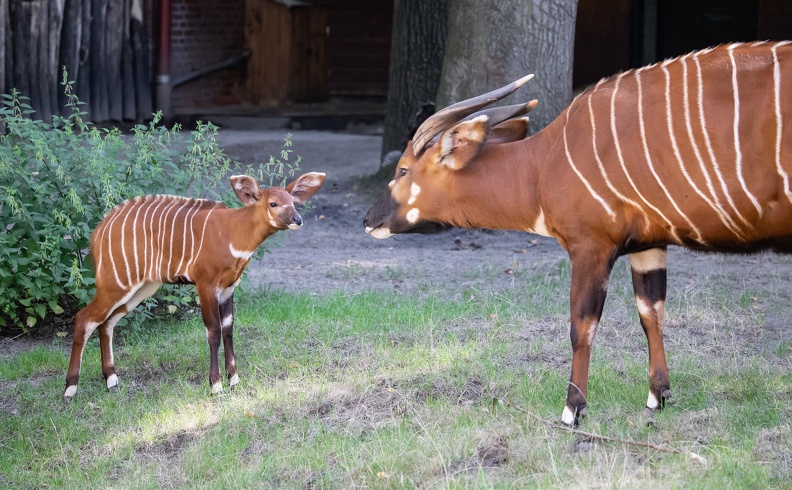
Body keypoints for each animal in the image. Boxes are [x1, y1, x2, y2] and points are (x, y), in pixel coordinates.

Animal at [63, 174, 326, 400]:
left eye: (293, 201)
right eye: (273, 203)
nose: (298, 219)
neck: (233, 232)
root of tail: (99, 231)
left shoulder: (229, 287)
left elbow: (228, 329)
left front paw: (234, 380)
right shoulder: (206, 285)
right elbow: (213, 332)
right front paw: (216, 385)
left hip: (141, 288)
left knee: (107, 322)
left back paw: (112, 381)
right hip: (116, 283)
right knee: (84, 318)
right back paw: (70, 389)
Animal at [364, 42, 792, 424]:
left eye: (403, 170)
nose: (369, 219)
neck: (543, 165)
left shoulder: (591, 246)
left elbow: (581, 327)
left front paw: (572, 410)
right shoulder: (649, 245)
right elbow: (651, 314)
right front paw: (657, 398)